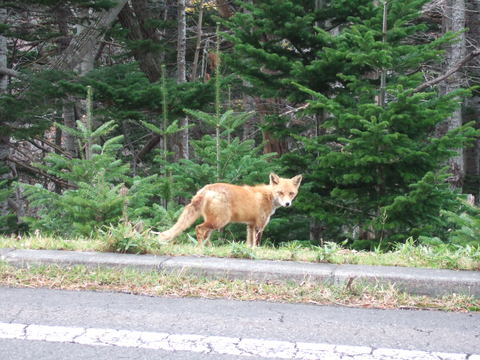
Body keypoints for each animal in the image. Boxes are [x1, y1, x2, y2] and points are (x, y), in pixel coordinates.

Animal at [158, 174, 302, 248]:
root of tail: (205, 188)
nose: (287, 204)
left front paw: (249, 251)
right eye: (280, 193)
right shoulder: (259, 225)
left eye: (291, 193)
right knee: (199, 228)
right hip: (219, 221)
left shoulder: (250, 225)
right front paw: (257, 251)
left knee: (205, 233)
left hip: (213, 222)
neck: (268, 196)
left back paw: (209, 248)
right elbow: (256, 242)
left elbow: (249, 243)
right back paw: (201, 248)